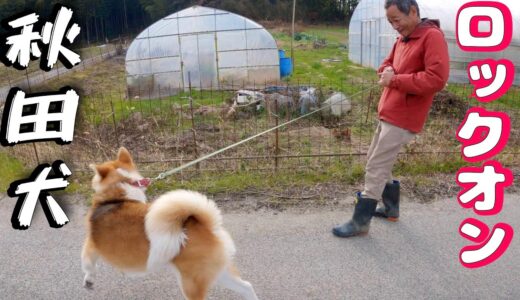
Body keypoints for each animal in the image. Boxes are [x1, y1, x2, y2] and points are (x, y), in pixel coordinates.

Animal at [80, 148, 258, 300]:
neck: (120, 194)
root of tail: (208, 226)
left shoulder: (91, 244)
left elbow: (88, 264)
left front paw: (88, 280)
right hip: (218, 271)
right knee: (247, 287)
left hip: (191, 282)